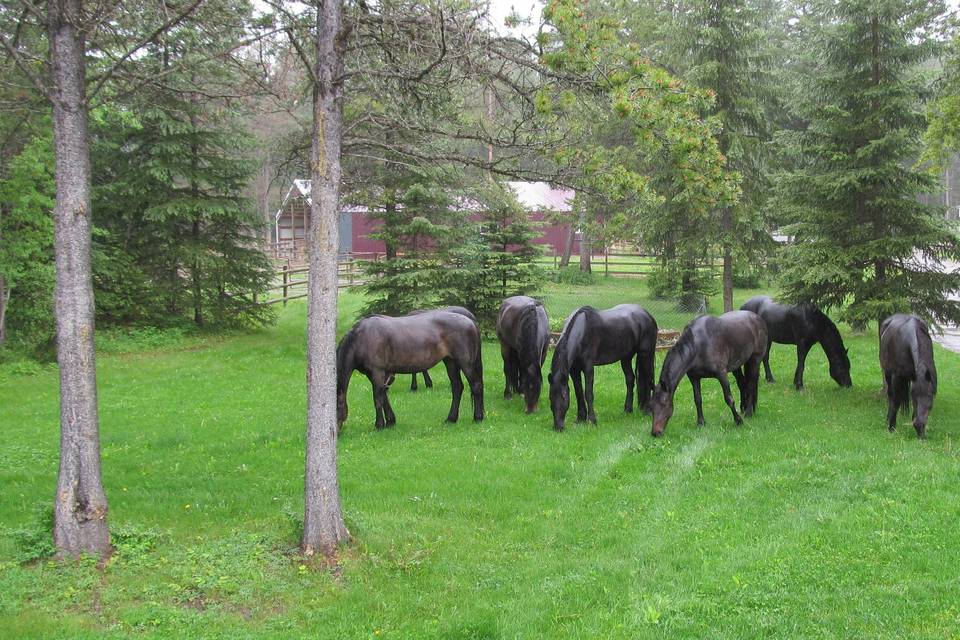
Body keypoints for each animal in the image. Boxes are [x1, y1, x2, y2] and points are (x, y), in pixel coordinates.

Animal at [340, 310, 488, 430]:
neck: (361, 338)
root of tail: (471, 322)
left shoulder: (377, 372)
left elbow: (377, 398)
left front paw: (379, 425)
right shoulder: (376, 375)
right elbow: (383, 395)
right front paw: (390, 421)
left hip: (466, 363)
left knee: (476, 386)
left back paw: (478, 418)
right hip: (450, 362)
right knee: (457, 387)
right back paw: (451, 419)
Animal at [648, 308, 768, 438]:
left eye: (664, 404)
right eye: (651, 405)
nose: (656, 432)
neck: (699, 344)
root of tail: (757, 318)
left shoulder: (722, 375)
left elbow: (729, 399)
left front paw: (738, 421)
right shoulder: (694, 377)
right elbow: (697, 399)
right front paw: (701, 423)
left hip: (755, 360)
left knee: (751, 384)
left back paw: (748, 412)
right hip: (737, 366)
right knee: (742, 384)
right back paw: (743, 408)